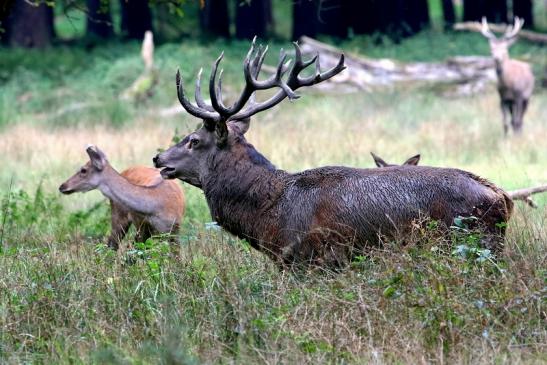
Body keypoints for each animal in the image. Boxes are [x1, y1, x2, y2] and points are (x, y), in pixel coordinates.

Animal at [153, 39, 512, 268]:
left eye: (193, 140)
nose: (158, 159)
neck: (269, 217)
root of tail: (503, 198)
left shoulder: (310, 260)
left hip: (469, 243)